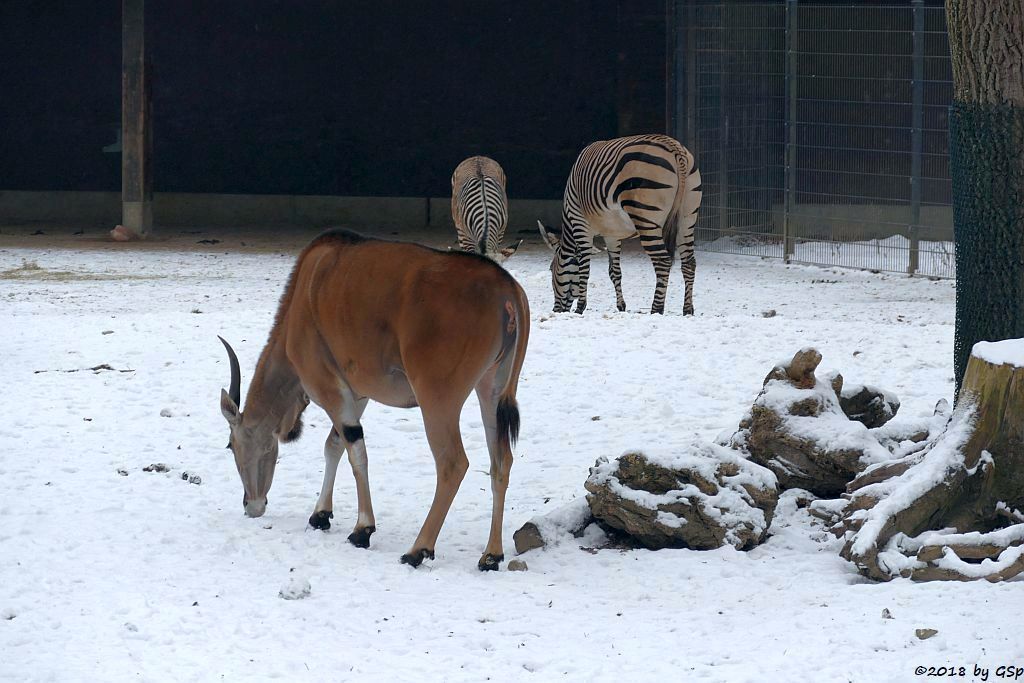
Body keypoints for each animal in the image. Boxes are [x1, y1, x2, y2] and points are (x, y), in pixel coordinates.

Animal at [540, 133, 700, 315]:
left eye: (551, 269)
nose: (555, 311)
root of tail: (674, 146)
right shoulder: (612, 235)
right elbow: (614, 272)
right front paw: (621, 306)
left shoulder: (580, 225)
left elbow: (584, 269)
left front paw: (580, 308)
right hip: (687, 217)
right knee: (689, 263)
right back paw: (687, 310)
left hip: (646, 217)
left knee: (663, 261)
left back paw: (656, 310)